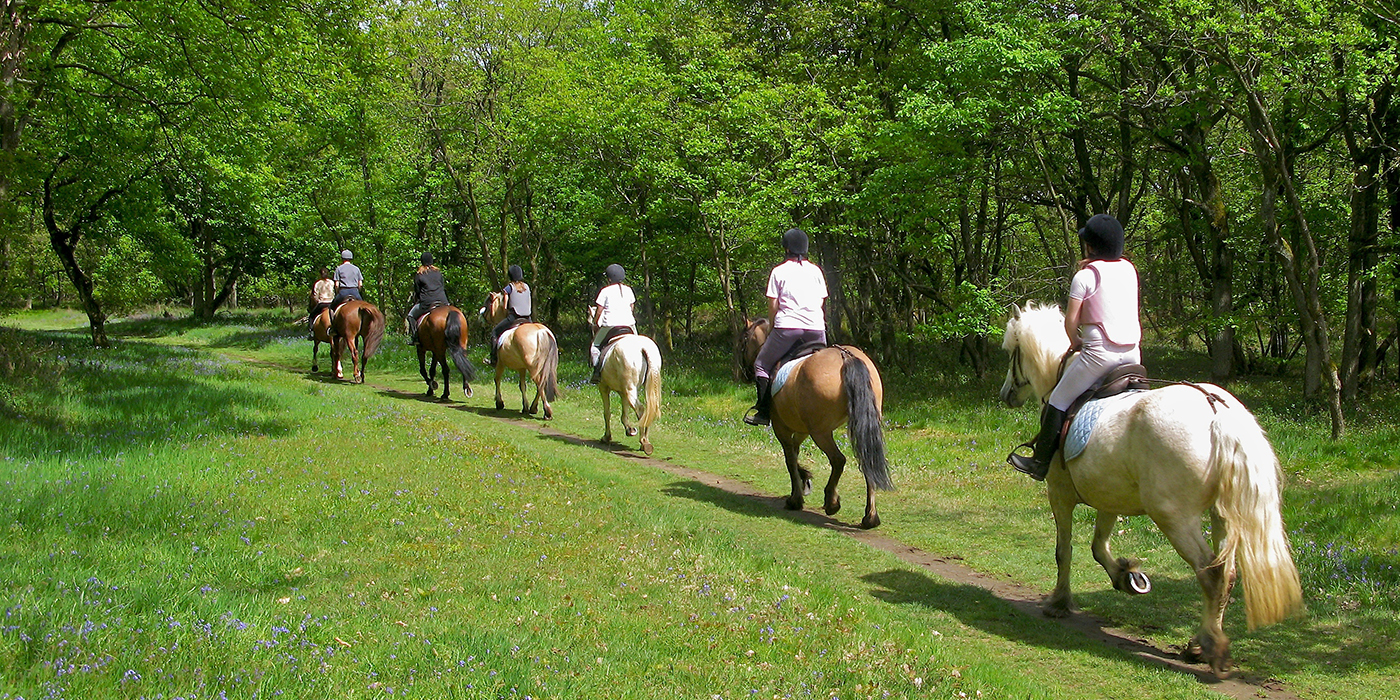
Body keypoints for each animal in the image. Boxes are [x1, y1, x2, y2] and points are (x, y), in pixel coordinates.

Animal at [588, 312, 662, 455]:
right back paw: (645, 441)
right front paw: (630, 429)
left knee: (640, 409)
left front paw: (607, 437)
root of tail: (642, 348)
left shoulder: (603, 387)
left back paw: (644, 442)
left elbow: (607, 413)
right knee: (649, 408)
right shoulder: (622, 392)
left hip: (629, 389)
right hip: (644, 387)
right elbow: (624, 413)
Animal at [740, 318, 893, 529]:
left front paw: (796, 498)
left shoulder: (782, 428)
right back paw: (870, 517)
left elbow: (790, 459)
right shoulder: (802, 429)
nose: (743, 374)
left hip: (821, 432)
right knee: (866, 460)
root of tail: (845, 356)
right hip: (858, 425)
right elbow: (795, 452)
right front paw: (804, 480)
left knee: (838, 460)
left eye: (743, 341)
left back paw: (831, 502)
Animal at [1000, 301, 1303, 676]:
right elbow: (1098, 547)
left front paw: (1059, 602)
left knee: (1210, 573)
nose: (1006, 394)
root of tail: (1216, 411)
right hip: (1221, 516)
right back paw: (1200, 642)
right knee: (1227, 575)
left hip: (1174, 517)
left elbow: (1064, 551)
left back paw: (1209, 648)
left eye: (1011, 352)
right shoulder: (1109, 497)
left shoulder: (1059, 494)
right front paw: (1126, 576)